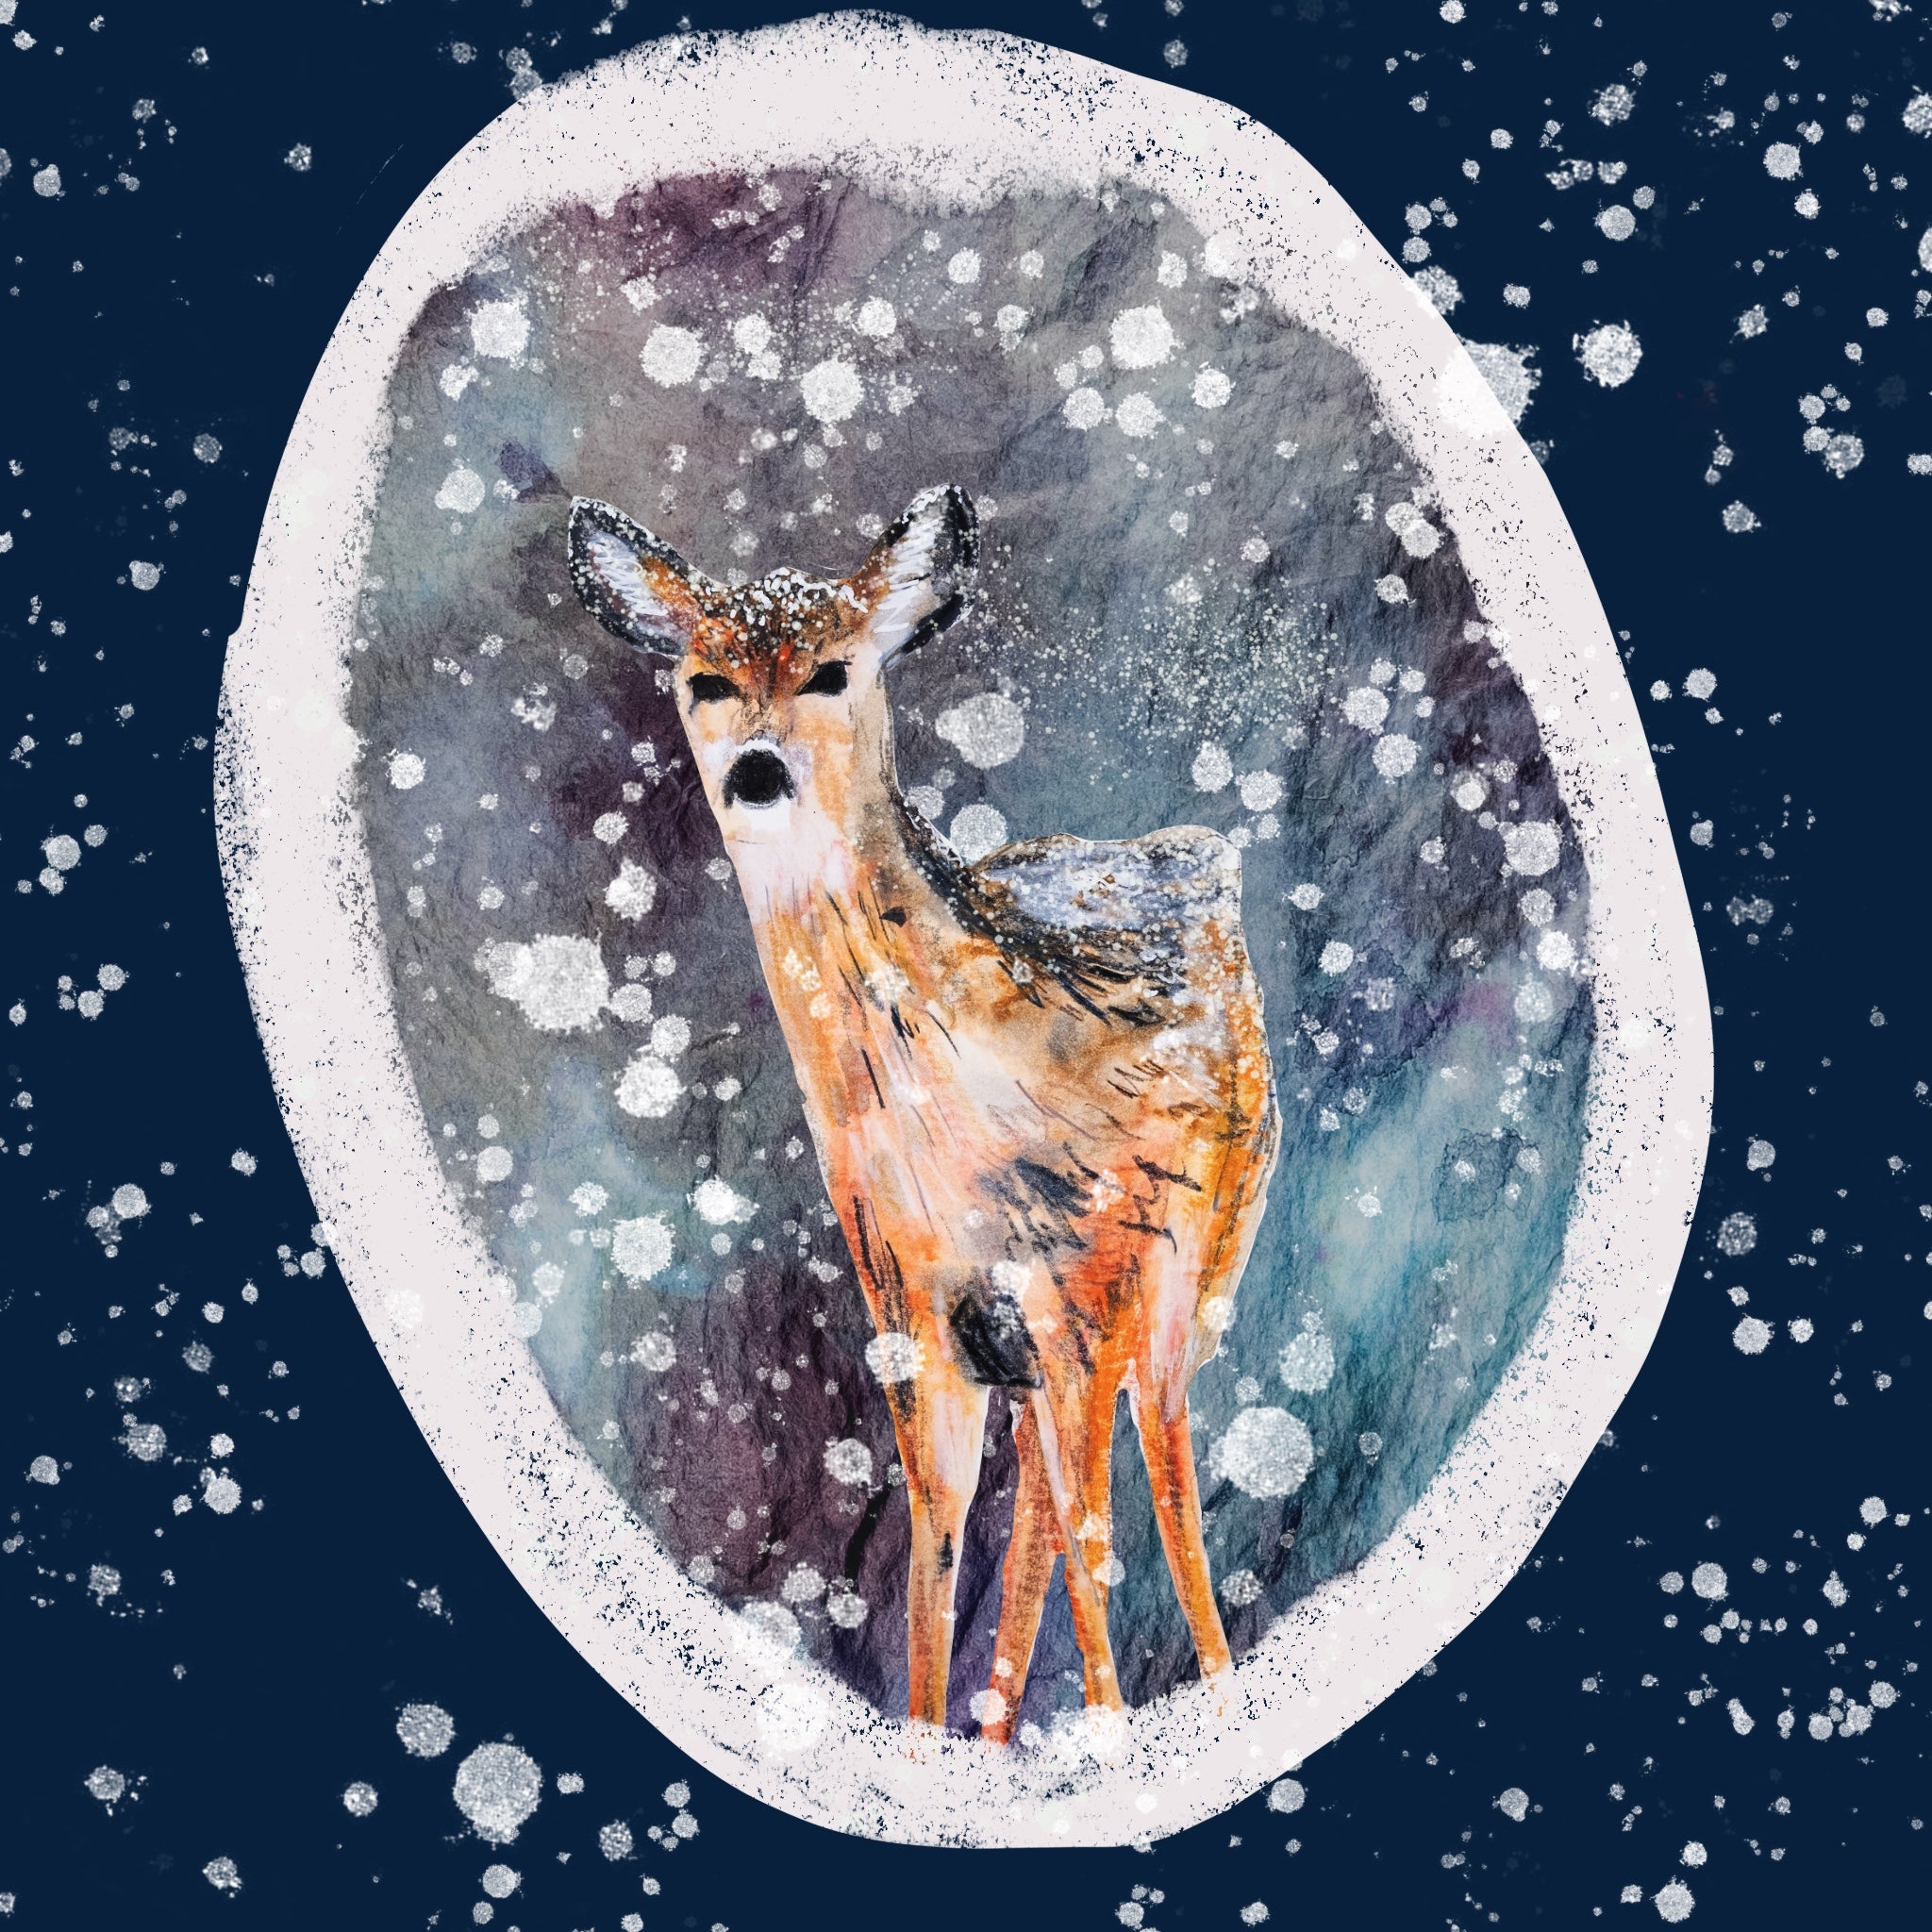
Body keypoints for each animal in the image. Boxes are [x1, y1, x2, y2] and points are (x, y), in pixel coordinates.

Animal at [568, 483, 1280, 1740]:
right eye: (704, 679)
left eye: (833, 670)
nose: (757, 770)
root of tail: (1193, 852)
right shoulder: (910, 1308)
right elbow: (934, 1558)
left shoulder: (1071, 1287)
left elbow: (1094, 1538)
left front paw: (1107, 1738)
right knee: (1044, 1508)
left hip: (1189, 1272)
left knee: (1156, 1474)